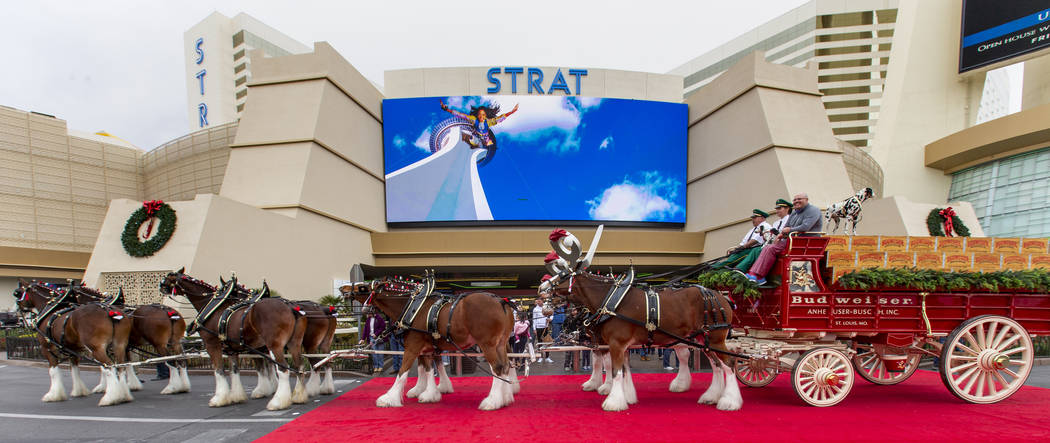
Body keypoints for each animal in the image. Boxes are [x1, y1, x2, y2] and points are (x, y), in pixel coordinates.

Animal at [158, 268, 306, 409]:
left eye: (170, 277)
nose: (160, 286)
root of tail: (290, 306)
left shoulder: (213, 345)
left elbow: (219, 370)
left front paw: (219, 399)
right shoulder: (232, 349)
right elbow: (235, 370)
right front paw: (237, 396)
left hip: (274, 344)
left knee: (283, 369)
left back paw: (278, 401)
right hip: (294, 343)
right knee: (299, 366)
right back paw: (298, 396)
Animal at [340, 275, 516, 409]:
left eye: (363, 286)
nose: (343, 288)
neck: (413, 307)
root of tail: (501, 301)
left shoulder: (412, 347)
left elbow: (403, 371)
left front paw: (389, 398)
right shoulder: (427, 348)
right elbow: (428, 369)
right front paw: (429, 392)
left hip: (487, 344)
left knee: (497, 368)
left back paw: (492, 401)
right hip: (500, 344)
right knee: (506, 366)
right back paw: (505, 398)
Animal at [541, 228, 739, 411]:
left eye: (563, 275)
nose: (542, 288)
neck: (610, 300)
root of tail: (721, 297)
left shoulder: (615, 342)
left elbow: (615, 370)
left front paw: (612, 400)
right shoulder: (609, 342)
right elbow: (621, 369)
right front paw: (625, 396)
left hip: (714, 338)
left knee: (728, 364)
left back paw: (729, 401)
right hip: (701, 338)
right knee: (715, 364)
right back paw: (711, 395)